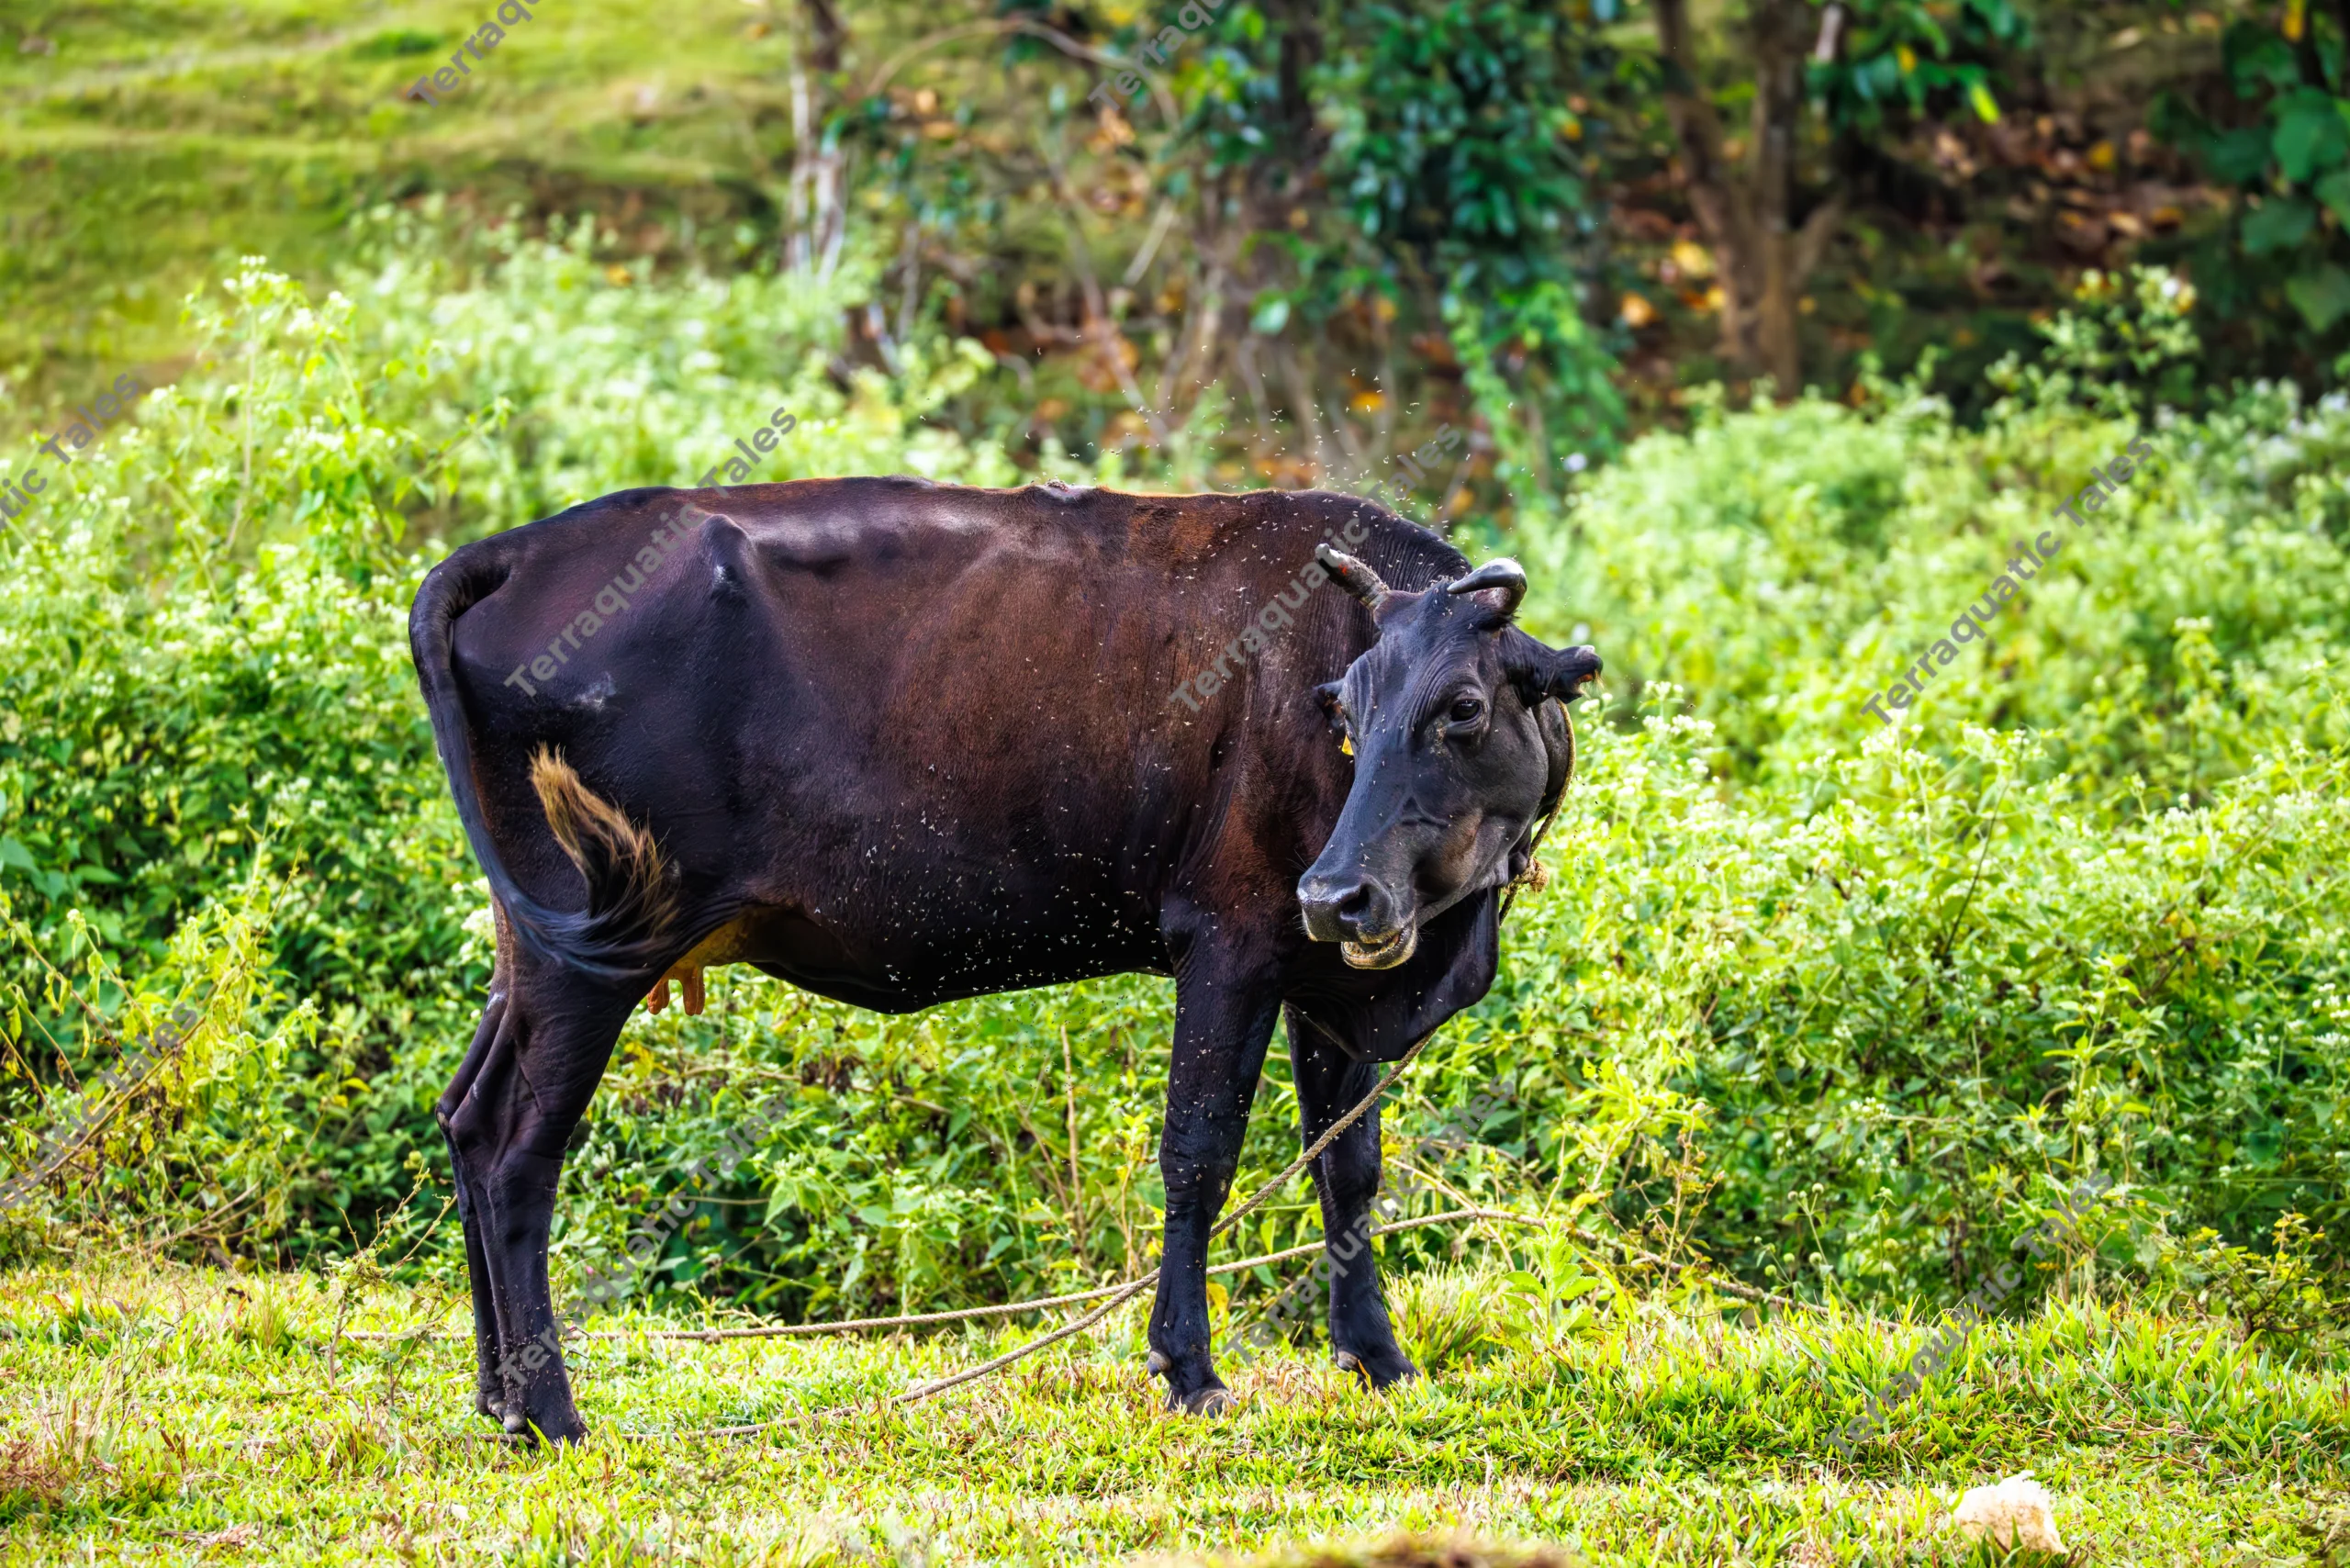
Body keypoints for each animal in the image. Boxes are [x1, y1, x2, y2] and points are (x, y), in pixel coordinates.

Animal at [408, 476, 1601, 1442]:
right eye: (1347, 713)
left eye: (1462, 707)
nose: (1335, 890)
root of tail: (521, 550)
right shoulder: (1231, 939)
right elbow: (1198, 1152)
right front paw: (1189, 1369)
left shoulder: (1334, 976)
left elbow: (1348, 1168)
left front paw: (1379, 1359)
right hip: (596, 952)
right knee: (517, 1150)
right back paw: (550, 1411)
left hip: (543, 942)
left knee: (467, 1116)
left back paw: (495, 1395)